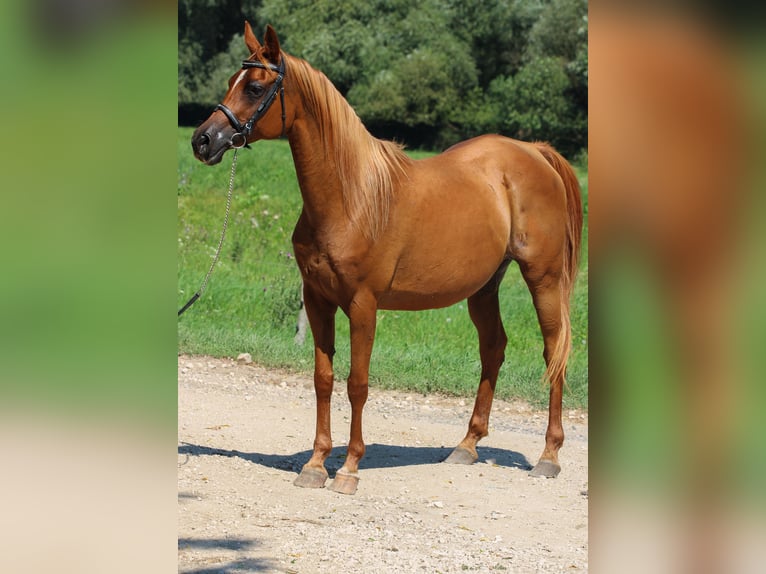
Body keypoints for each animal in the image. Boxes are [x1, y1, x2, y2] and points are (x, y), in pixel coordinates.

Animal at [192, 24, 584, 498]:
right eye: (232, 80)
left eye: (253, 86)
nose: (202, 140)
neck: (353, 196)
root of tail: (535, 151)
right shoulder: (317, 301)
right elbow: (323, 380)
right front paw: (315, 464)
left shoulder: (364, 305)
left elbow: (357, 384)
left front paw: (348, 469)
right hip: (483, 287)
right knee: (493, 348)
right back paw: (467, 446)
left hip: (542, 278)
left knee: (553, 351)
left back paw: (548, 456)